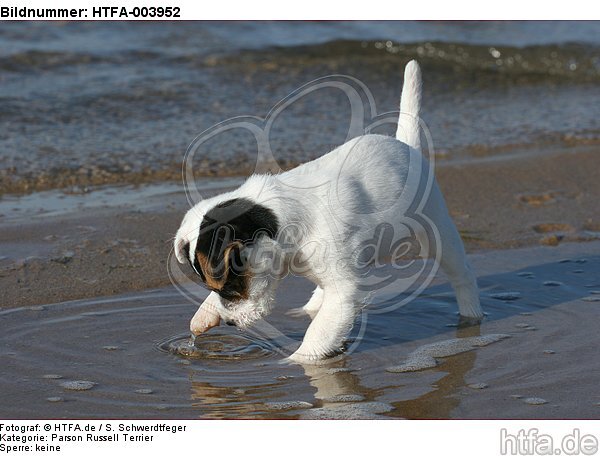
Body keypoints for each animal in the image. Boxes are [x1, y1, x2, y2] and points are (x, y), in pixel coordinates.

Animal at [173, 59, 482, 364]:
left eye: (229, 286)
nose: (230, 324)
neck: (288, 218)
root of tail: (406, 146)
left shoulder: (343, 292)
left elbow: (320, 332)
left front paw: (297, 361)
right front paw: (204, 314)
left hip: (438, 232)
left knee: (463, 274)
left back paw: (471, 315)